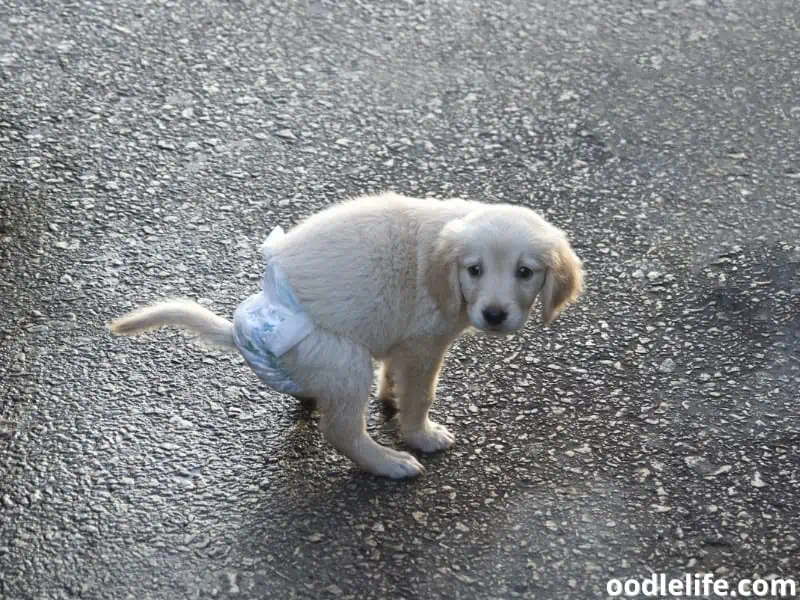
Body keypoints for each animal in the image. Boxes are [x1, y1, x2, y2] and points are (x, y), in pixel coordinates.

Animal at [108, 192, 580, 478]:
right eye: (474, 270)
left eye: (525, 272)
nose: (494, 314)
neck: (441, 272)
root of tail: (245, 328)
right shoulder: (424, 347)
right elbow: (420, 397)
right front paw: (421, 435)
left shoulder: (402, 343)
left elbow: (393, 376)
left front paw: (390, 398)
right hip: (345, 359)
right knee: (341, 430)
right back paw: (389, 462)